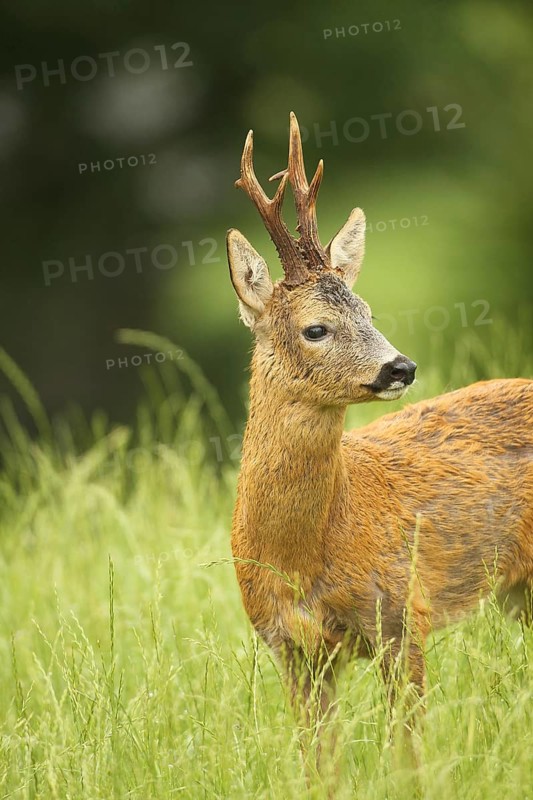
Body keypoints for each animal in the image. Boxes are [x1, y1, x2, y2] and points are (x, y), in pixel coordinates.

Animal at [226, 111, 533, 777]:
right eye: (316, 328)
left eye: (367, 310)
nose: (401, 367)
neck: (305, 554)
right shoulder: (291, 648)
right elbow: (319, 764)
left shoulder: (402, 614)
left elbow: (408, 751)